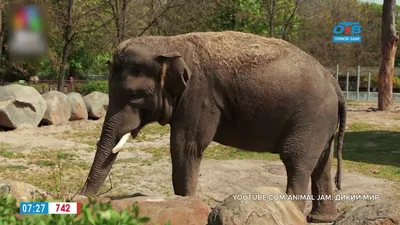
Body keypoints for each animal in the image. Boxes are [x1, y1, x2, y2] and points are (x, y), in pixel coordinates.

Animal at [79, 30, 346, 222]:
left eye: (134, 95)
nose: (80, 200)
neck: (169, 43)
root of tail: (335, 84)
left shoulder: (199, 95)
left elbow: (186, 147)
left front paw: (186, 203)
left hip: (311, 118)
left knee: (297, 162)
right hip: (322, 123)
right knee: (322, 163)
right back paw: (321, 219)